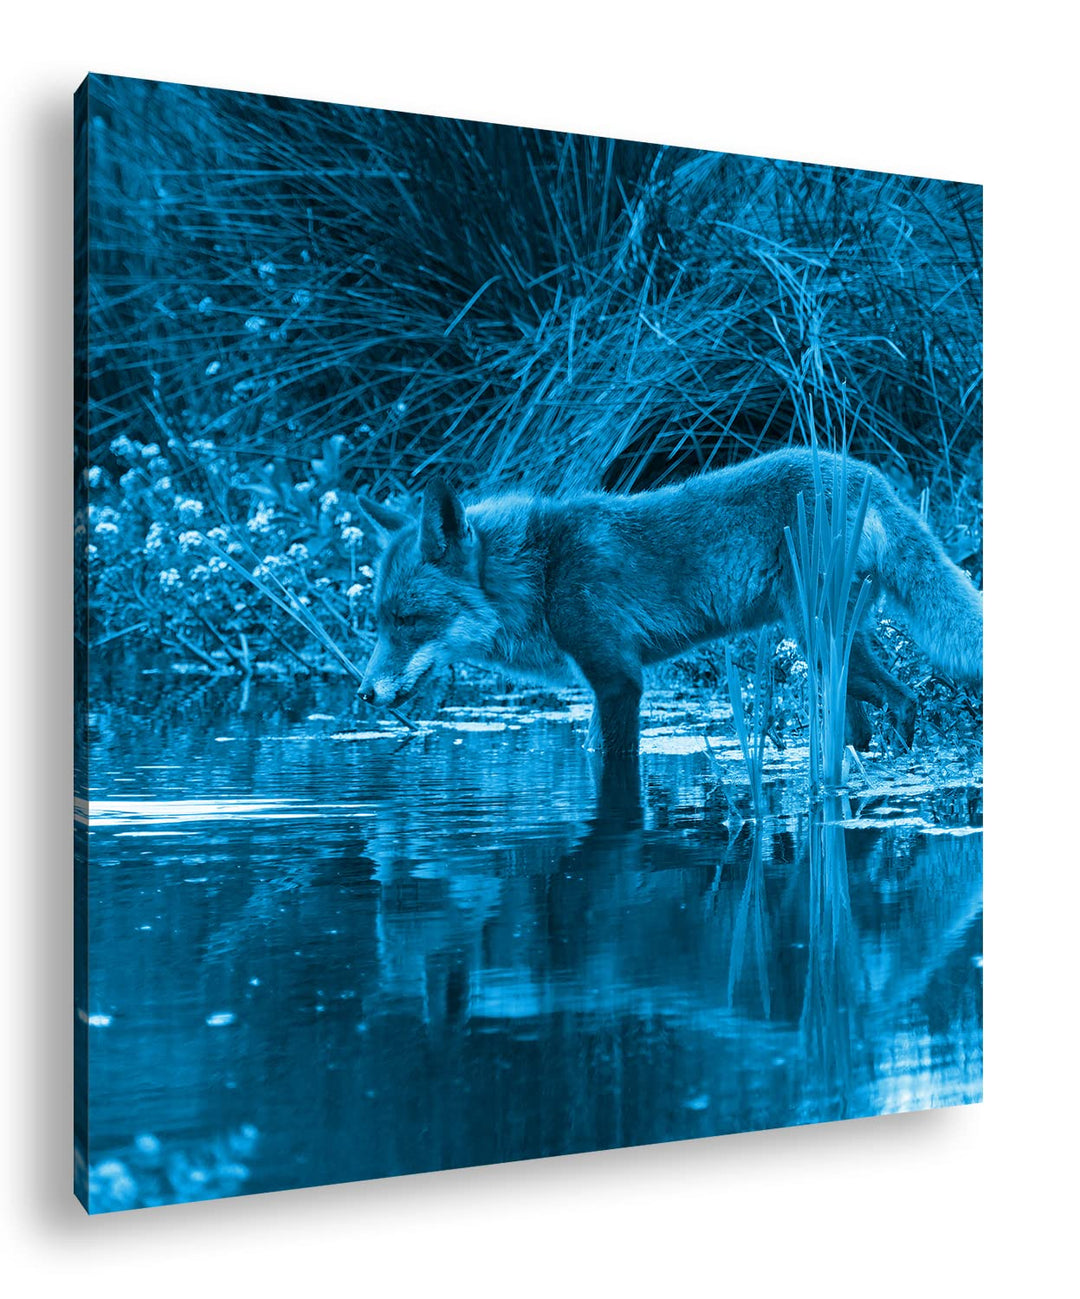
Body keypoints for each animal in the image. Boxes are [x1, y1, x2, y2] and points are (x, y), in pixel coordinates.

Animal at [355, 448, 982, 760]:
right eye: (379, 623)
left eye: (409, 622)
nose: (363, 694)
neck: (544, 571)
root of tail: (867, 474)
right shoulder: (600, 683)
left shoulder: (619, 680)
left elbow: (614, 758)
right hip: (831, 654)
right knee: (859, 730)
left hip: (823, 643)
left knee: (905, 701)